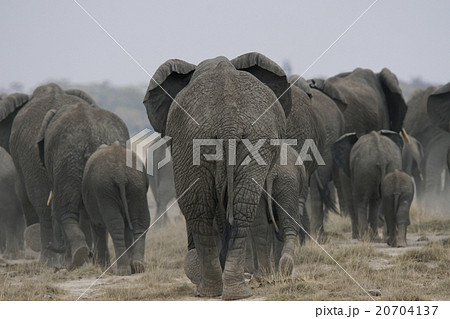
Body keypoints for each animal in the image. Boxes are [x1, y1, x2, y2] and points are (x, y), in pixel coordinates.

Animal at [35, 95, 129, 268]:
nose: (51, 244)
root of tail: (92, 134)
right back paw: (97, 262)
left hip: (67, 159)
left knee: (64, 208)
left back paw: (77, 258)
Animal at [81, 142, 150, 276]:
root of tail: (120, 172)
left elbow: (97, 226)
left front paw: (102, 268)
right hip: (136, 183)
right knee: (140, 221)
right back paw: (138, 266)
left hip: (104, 189)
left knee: (115, 225)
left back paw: (123, 271)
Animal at [145, 52, 292, 300]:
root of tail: (228, 121)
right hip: (203, 141)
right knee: (230, 206)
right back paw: (226, 290)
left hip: (218, 140)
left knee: (208, 206)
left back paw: (217, 289)